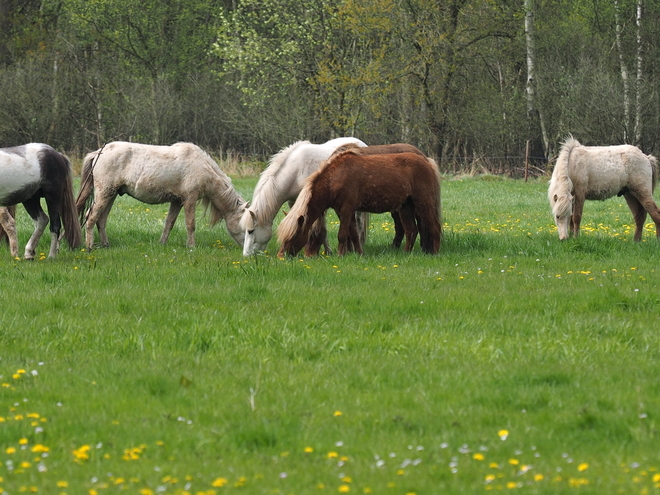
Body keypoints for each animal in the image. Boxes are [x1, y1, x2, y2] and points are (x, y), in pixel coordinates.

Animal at [76, 141, 248, 250]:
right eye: (244, 226)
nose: (250, 251)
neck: (201, 165)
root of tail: (99, 152)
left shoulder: (177, 201)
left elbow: (169, 223)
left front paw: (162, 243)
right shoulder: (190, 199)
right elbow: (190, 224)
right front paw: (192, 246)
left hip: (111, 194)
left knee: (101, 219)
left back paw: (105, 245)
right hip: (104, 192)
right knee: (91, 217)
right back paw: (89, 246)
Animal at [276, 152, 440, 258]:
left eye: (293, 235)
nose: (280, 256)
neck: (334, 179)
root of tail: (427, 161)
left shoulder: (347, 209)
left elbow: (343, 234)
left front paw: (340, 255)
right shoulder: (343, 210)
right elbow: (354, 234)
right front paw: (360, 254)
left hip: (423, 202)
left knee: (434, 227)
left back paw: (435, 253)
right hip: (406, 206)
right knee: (411, 230)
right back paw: (406, 254)